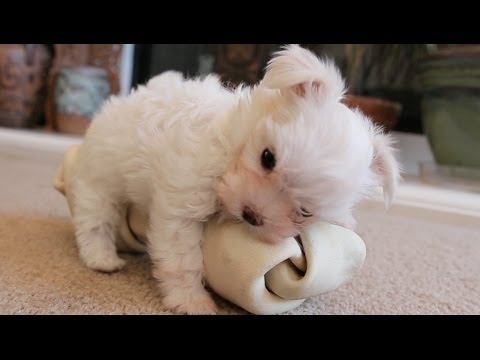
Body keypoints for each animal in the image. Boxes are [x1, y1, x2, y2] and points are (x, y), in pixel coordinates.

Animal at [71, 45, 400, 314]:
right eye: (267, 157)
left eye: (305, 212)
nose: (252, 215)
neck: (233, 145)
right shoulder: (184, 202)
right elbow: (183, 261)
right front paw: (191, 301)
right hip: (101, 179)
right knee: (95, 220)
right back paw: (102, 259)